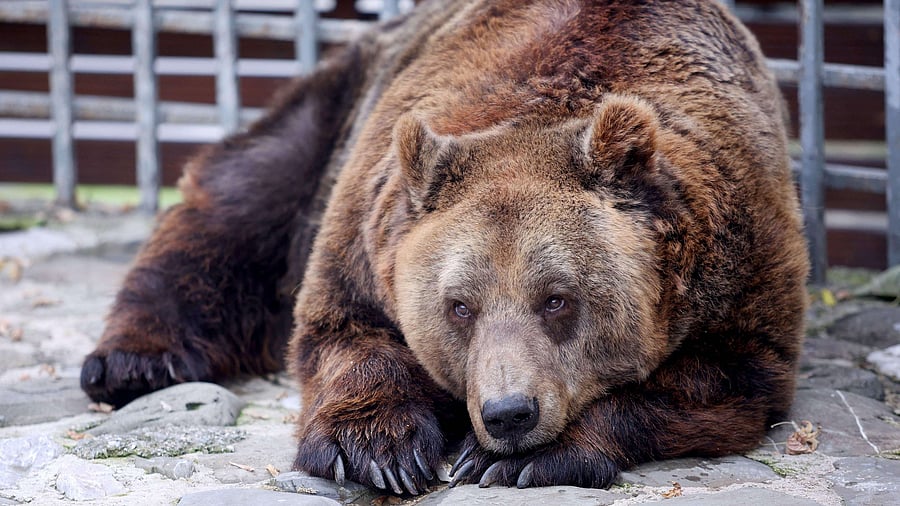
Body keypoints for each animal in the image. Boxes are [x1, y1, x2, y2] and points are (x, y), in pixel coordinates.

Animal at [81, 0, 809, 495]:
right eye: (459, 306)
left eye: (558, 299)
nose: (509, 413)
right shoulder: (366, 228)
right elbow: (344, 334)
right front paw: (378, 449)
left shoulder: (737, 265)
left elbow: (724, 381)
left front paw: (516, 458)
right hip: (336, 113)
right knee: (240, 201)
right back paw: (133, 362)